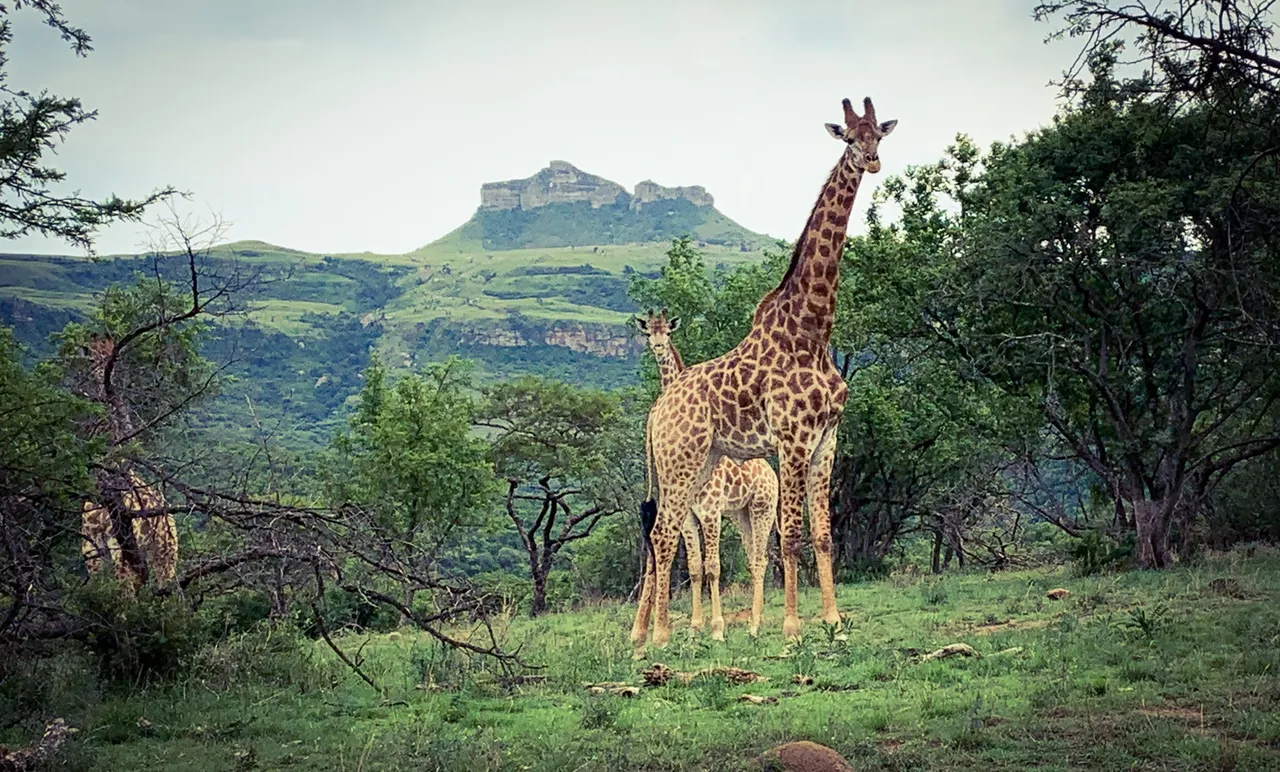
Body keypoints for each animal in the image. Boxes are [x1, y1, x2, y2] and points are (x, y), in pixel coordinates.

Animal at [76, 332, 177, 591]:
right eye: (92, 357)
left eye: (109, 358)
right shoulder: (91, 544)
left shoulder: (107, 544)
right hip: (155, 554)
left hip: (155, 553)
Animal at [629, 308, 778, 640]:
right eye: (648, 333)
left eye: (667, 332)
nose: (658, 347)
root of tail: (771, 473)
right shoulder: (689, 516)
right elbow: (696, 568)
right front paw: (696, 627)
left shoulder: (710, 511)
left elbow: (713, 567)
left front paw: (717, 629)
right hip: (741, 514)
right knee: (753, 558)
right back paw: (755, 621)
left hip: (763, 508)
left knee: (761, 559)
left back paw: (755, 625)